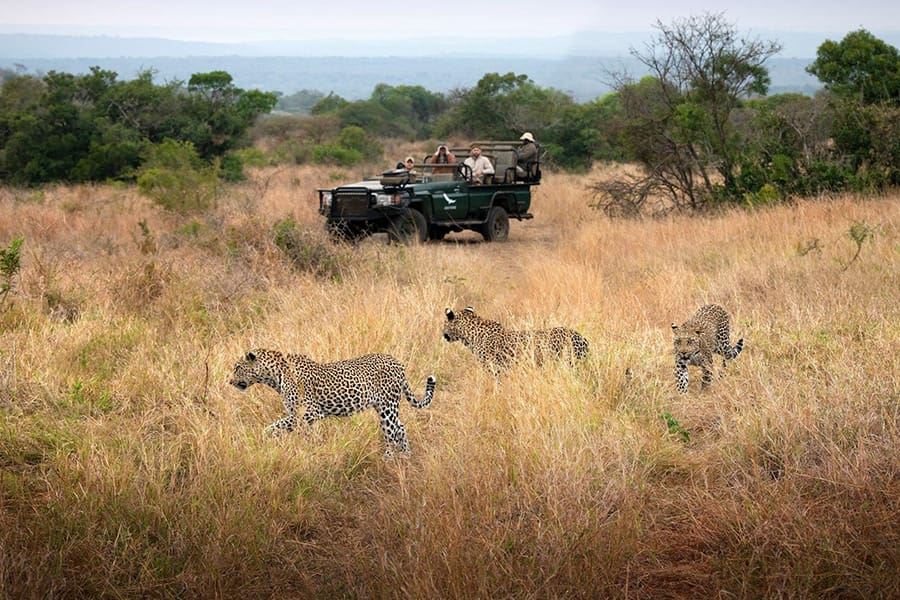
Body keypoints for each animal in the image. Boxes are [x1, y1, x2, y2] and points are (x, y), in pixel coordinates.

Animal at [230, 350, 438, 458]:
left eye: (238, 368)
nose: (230, 381)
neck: (273, 377)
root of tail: (397, 362)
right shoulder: (296, 415)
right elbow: (275, 427)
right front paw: (263, 439)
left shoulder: (308, 413)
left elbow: (297, 432)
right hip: (385, 407)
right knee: (400, 428)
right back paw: (407, 456)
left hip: (387, 408)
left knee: (391, 433)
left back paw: (389, 459)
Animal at [442, 304, 592, 376]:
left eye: (444, 323)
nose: (443, 334)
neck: (470, 336)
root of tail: (581, 337)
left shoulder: (495, 369)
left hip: (570, 363)